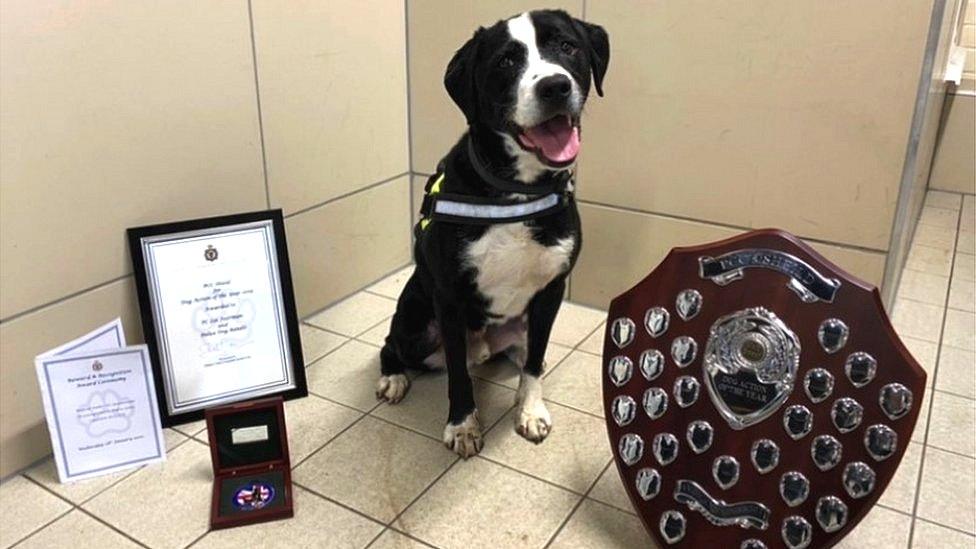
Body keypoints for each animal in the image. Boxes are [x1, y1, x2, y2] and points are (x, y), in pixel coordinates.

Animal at [378, 10, 608, 456]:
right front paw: (463, 424)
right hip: (417, 324)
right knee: (392, 345)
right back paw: (394, 377)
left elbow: (534, 363)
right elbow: (457, 375)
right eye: (506, 61)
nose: (555, 86)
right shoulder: (448, 298)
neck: (516, 191)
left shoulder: (551, 291)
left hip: (518, 324)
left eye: (567, 46)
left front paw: (530, 410)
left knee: (524, 353)